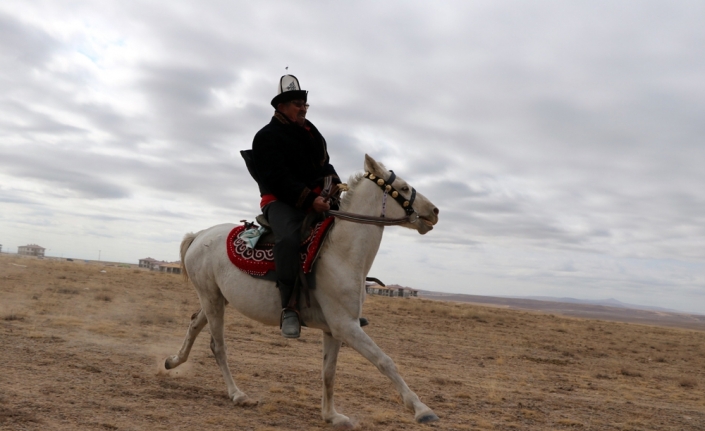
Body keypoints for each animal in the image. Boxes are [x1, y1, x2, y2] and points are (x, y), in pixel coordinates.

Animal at [166, 155, 440, 428]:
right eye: (403, 187)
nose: (435, 211)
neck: (340, 254)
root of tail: (199, 235)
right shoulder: (346, 326)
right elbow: (385, 361)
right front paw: (422, 409)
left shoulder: (334, 330)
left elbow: (328, 372)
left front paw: (331, 415)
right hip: (211, 298)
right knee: (218, 345)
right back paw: (237, 394)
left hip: (216, 299)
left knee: (194, 324)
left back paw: (173, 361)